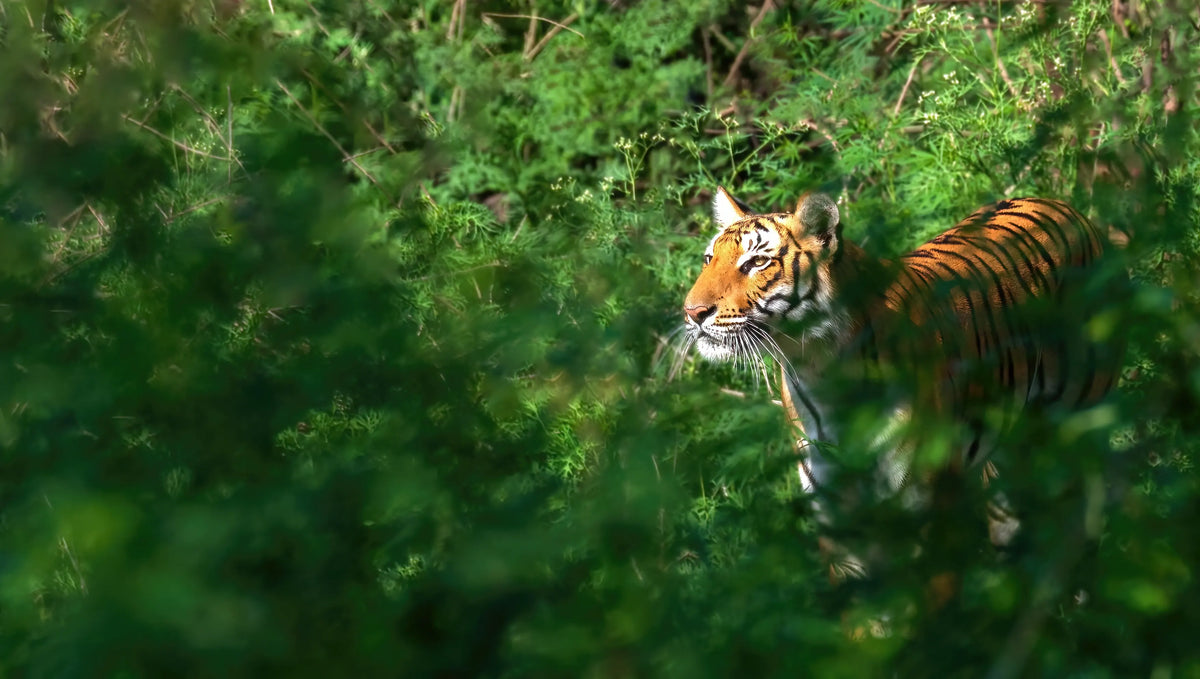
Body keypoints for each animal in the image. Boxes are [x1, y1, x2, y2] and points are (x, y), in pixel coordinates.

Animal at [681, 186, 1125, 579]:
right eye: (708, 259)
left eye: (756, 263)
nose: (692, 312)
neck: (820, 369)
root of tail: (1065, 207)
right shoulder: (838, 517)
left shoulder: (925, 511)